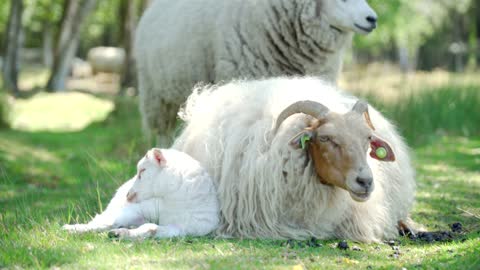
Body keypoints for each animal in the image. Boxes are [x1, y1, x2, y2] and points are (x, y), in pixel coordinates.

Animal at [62, 149, 219, 239]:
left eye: (142, 170)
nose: (128, 195)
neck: (172, 202)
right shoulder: (141, 208)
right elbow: (112, 222)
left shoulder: (181, 228)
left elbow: (150, 228)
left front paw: (123, 234)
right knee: (104, 219)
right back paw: (73, 228)